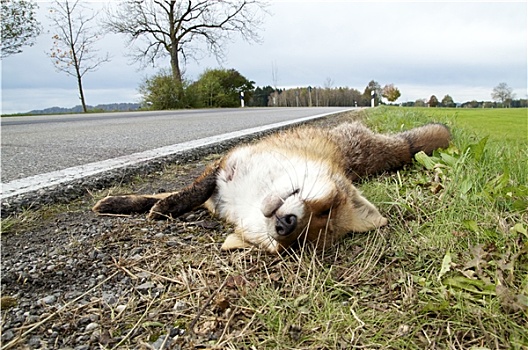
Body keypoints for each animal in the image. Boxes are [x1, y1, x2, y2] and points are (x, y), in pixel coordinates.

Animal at [92, 121, 450, 253]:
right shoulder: (223, 168)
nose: (286, 226)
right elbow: (183, 194)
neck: (248, 196)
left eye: (298, 243)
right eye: (324, 209)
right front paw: (129, 204)